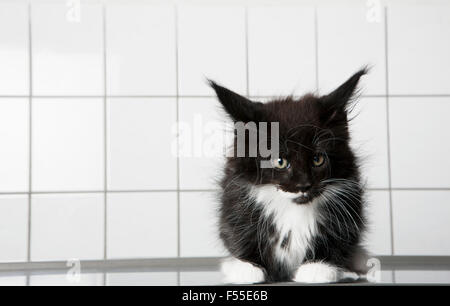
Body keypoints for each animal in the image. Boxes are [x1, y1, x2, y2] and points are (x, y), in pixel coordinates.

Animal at [211, 69, 370, 284]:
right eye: (280, 161)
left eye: (318, 159)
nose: (303, 185)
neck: (293, 209)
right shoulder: (236, 197)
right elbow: (235, 230)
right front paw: (248, 267)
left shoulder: (348, 200)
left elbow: (342, 235)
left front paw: (318, 267)